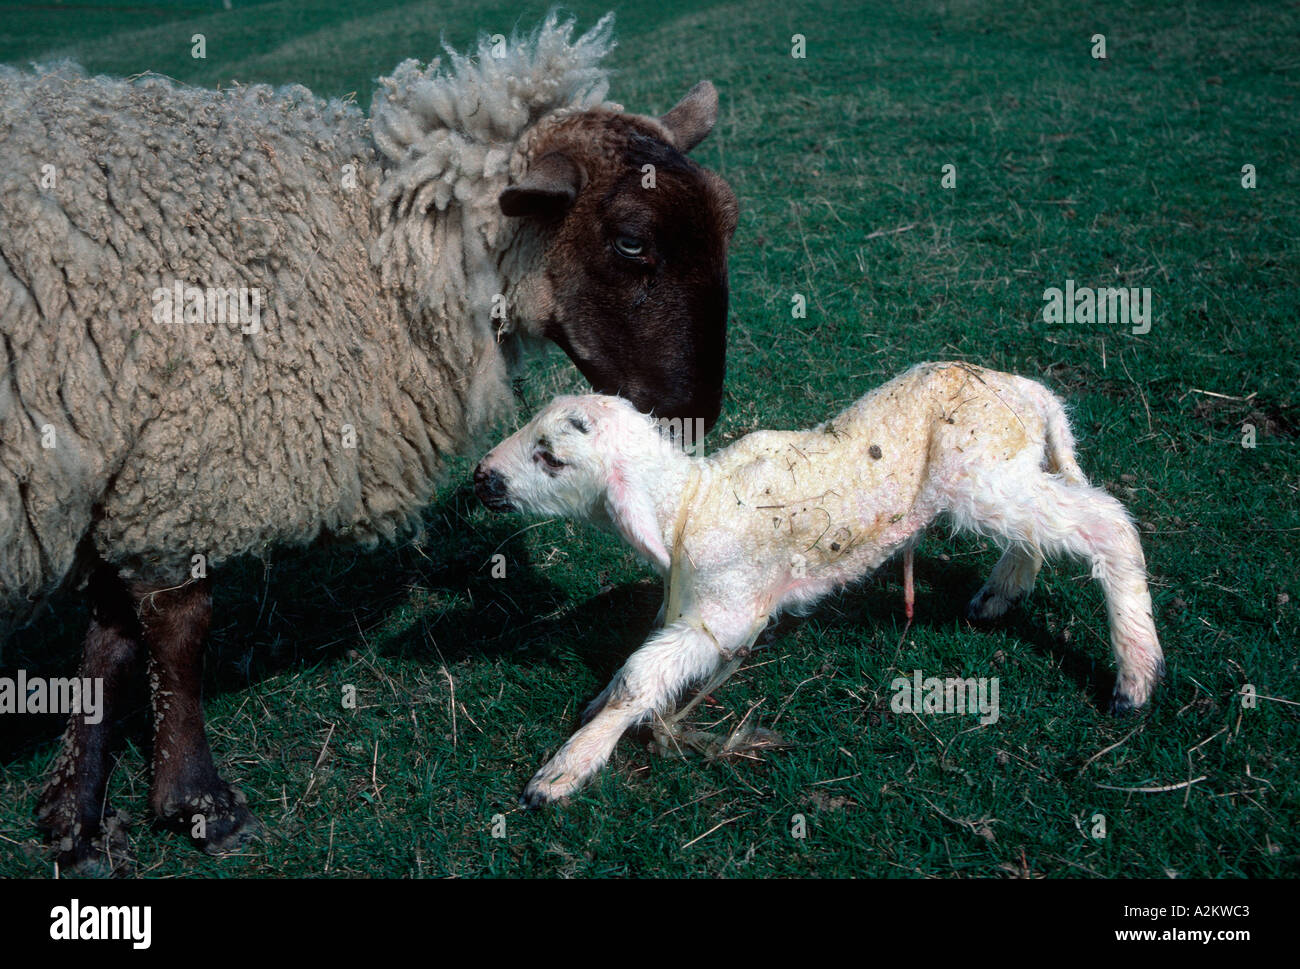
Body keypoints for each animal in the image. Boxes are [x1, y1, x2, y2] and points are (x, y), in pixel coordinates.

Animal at [473, 361, 1164, 801]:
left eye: (551, 457)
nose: (482, 477)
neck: (689, 502)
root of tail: (1035, 395)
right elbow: (636, 669)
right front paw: (594, 716)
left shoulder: (729, 613)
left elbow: (640, 679)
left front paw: (567, 768)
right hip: (1003, 474)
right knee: (1039, 533)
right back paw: (999, 595)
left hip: (986, 472)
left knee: (1108, 525)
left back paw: (1135, 674)